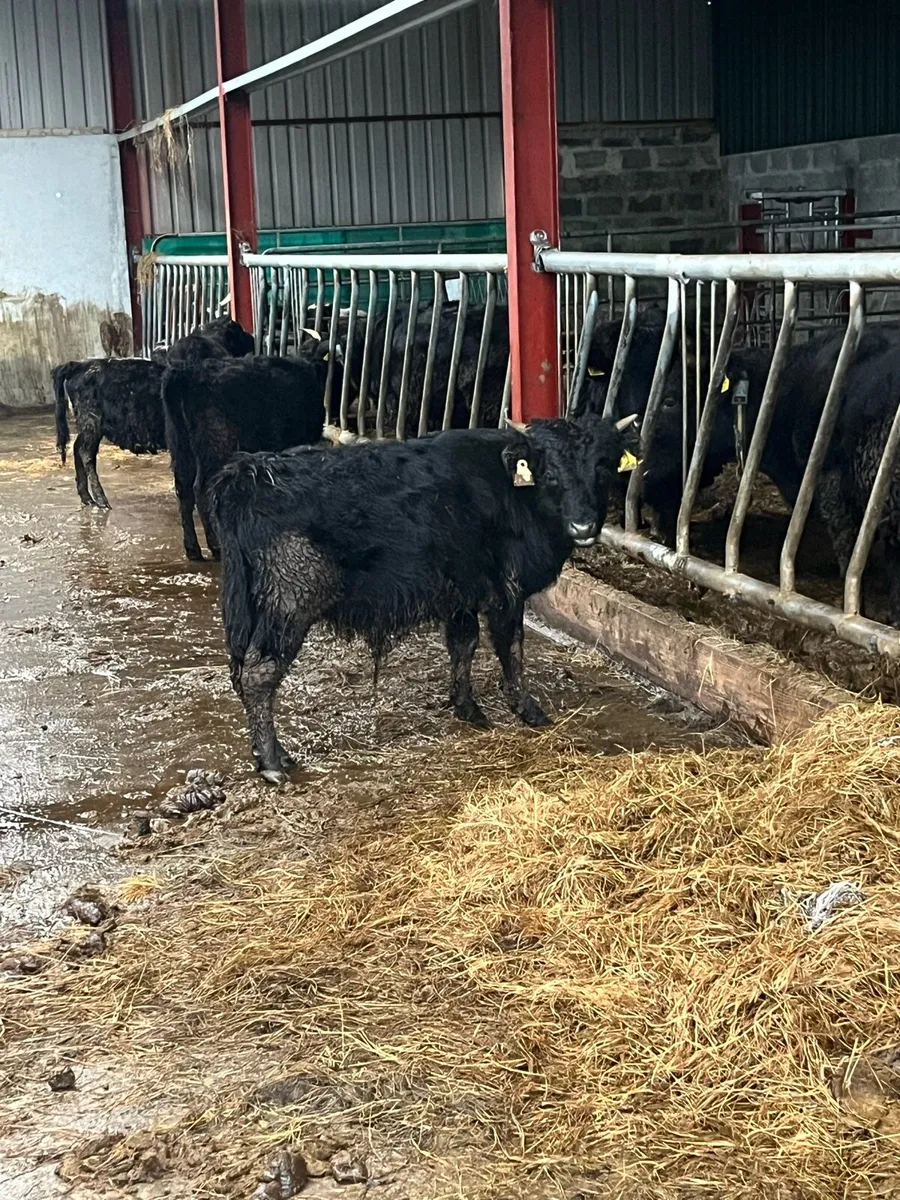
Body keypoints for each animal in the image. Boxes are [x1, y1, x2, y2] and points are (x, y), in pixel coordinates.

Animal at [53, 357, 167, 509]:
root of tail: (79, 364)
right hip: (91, 422)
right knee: (86, 453)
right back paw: (101, 500)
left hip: (89, 428)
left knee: (77, 448)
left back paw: (87, 498)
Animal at [161, 355, 328, 561]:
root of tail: (186, 372)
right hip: (214, 447)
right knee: (201, 490)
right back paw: (216, 545)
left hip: (181, 450)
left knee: (184, 492)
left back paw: (192, 549)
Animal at [209, 410, 633, 781]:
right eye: (549, 471)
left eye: (602, 468)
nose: (583, 526)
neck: (512, 492)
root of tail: (250, 473)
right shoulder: (506, 593)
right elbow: (511, 649)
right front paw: (529, 711)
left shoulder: (461, 593)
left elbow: (463, 645)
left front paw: (468, 709)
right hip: (289, 602)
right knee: (259, 675)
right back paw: (271, 762)